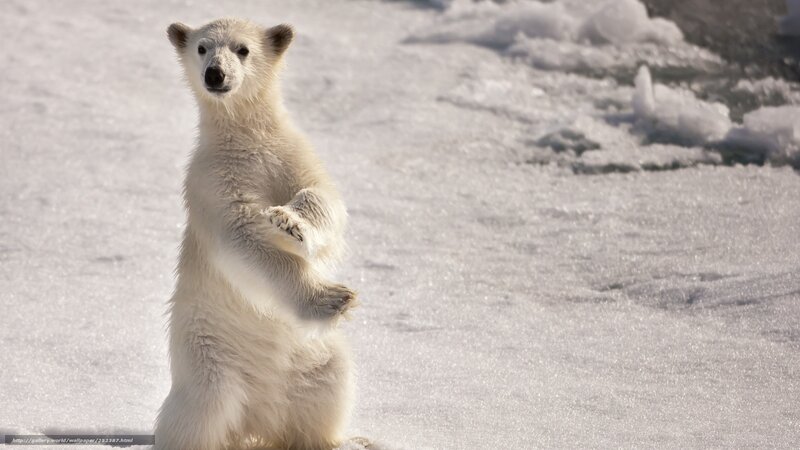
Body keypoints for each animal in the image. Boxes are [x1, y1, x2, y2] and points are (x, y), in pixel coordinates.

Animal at [154, 18, 361, 450]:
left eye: (243, 49)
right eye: (202, 47)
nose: (215, 74)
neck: (246, 138)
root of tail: (258, 420)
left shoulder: (290, 153)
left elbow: (322, 197)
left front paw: (290, 223)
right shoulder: (212, 181)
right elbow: (243, 237)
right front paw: (332, 298)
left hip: (312, 357)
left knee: (329, 385)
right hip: (208, 357)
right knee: (201, 413)